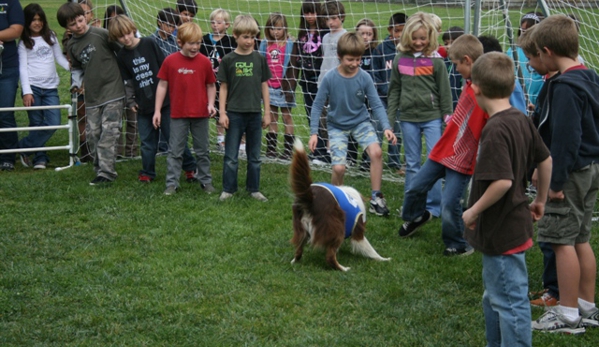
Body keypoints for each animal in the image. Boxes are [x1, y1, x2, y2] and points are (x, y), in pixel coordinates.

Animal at [290, 139, 392, 272]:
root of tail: (311, 199)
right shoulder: (358, 231)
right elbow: (369, 249)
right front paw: (384, 259)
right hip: (336, 228)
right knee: (330, 257)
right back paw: (343, 269)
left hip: (301, 228)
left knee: (298, 250)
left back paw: (294, 261)